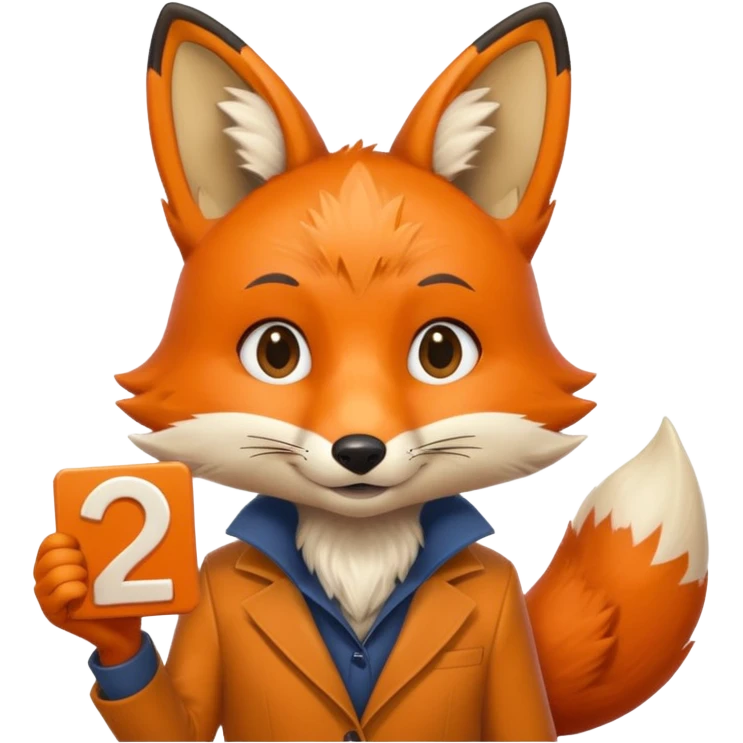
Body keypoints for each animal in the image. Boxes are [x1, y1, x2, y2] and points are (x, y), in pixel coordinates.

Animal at [33, 2, 710, 742]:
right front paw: (85, 600)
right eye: (276, 352)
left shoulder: (505, 624)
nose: (359, 450)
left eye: (440, 352)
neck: (358, 557)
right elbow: (176, 717)